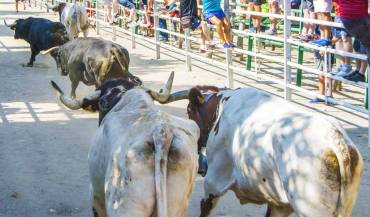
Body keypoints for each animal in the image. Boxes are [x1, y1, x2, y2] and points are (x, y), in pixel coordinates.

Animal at [165, 86, 364, 217]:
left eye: (189, 110)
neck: (221, 108)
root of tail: (336, 140)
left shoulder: (214, 181)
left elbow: (206, 205)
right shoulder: (279, 203)